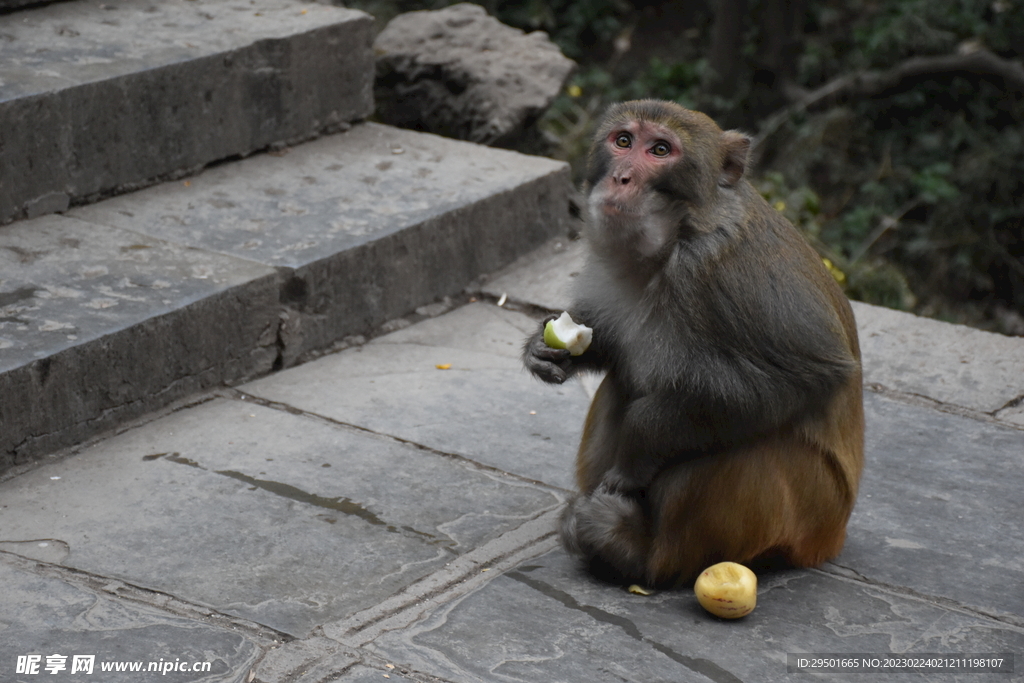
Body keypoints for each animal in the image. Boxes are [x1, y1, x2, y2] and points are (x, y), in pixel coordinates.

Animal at [520, 98, 864, 589]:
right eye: (623, 141)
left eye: (660, 150)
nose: (621, 177)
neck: (676, 237)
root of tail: (833, 538)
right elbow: (611, 346)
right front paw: (544, 348)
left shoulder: (726, 275)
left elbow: (803, 377)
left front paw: (640, 439)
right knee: (623, 383)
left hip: (812, 512)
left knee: (746, 441)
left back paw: (641, 554)